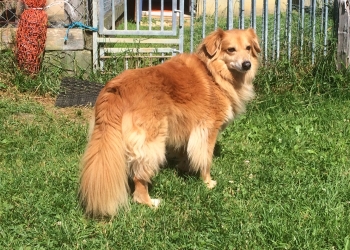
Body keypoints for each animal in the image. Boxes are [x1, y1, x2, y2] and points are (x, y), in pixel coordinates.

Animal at [79, 28, 260, 218]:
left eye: (248, 48)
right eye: (231, 50)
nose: (247, 65)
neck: (214, 73)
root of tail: (116, 89)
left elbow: (185, 153)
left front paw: (184, 168)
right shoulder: (207, 130)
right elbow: (206, 159)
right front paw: (208, 182)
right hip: (151, 141)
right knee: (139, 178)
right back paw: (149, 202)